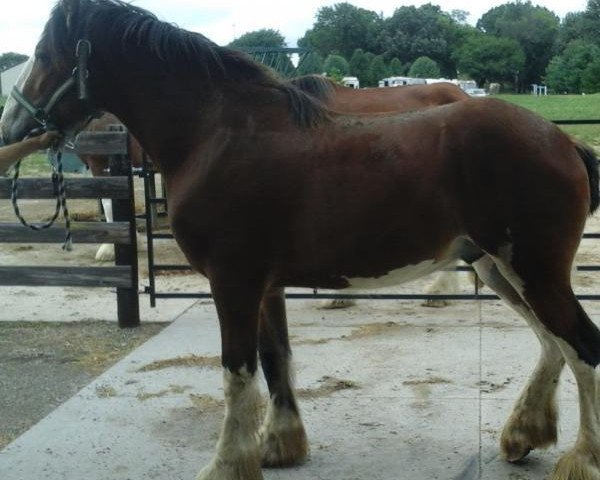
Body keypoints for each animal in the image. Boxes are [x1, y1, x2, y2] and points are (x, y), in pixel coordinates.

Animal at [1, 1, 600, 478]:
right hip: (497, 268)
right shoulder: (264, 286)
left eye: (44, 52)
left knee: (581, 346)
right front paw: (278, 447)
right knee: (552, 343)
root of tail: (564, 141)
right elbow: (274, 359)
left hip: (534, 271)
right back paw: (524, 434)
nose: (11, 127)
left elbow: (237, 372)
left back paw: (581, 459)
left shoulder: (233, 283)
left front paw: (227, 465)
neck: (219, 135)